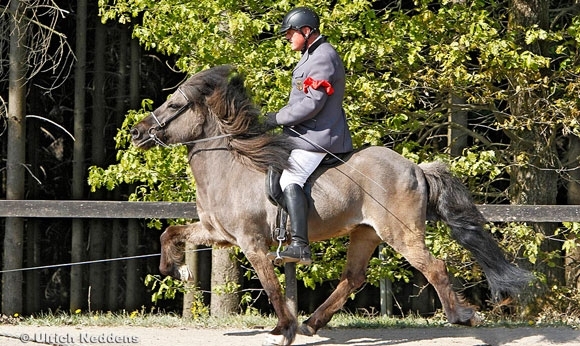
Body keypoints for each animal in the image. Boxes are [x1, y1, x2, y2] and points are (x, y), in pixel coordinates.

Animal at [129, 65, 532, 346]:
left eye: (175, 105)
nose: (136, 132)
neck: (231, 166)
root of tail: (416, 167)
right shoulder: (218, 233)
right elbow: (171, 232)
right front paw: (176, 269)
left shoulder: (251, 243)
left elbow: (271, 286)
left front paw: (284, 329)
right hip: (366, 233)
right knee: (353, 277)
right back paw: (313, 323)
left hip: (399, 233)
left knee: (433, 266)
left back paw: (461, 315)